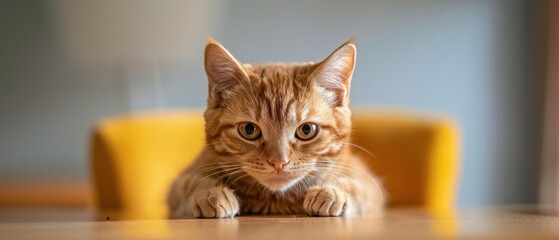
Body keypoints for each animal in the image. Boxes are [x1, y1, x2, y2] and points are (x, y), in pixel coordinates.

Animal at [167, 37, 384, 218]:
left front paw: (332, 192)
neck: (276, 201)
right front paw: (210, 193)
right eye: (249, 130)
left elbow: (358, 187)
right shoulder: (180, 184)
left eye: (306, 130)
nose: (278, 162)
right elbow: (190, 182)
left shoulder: (370, 184)